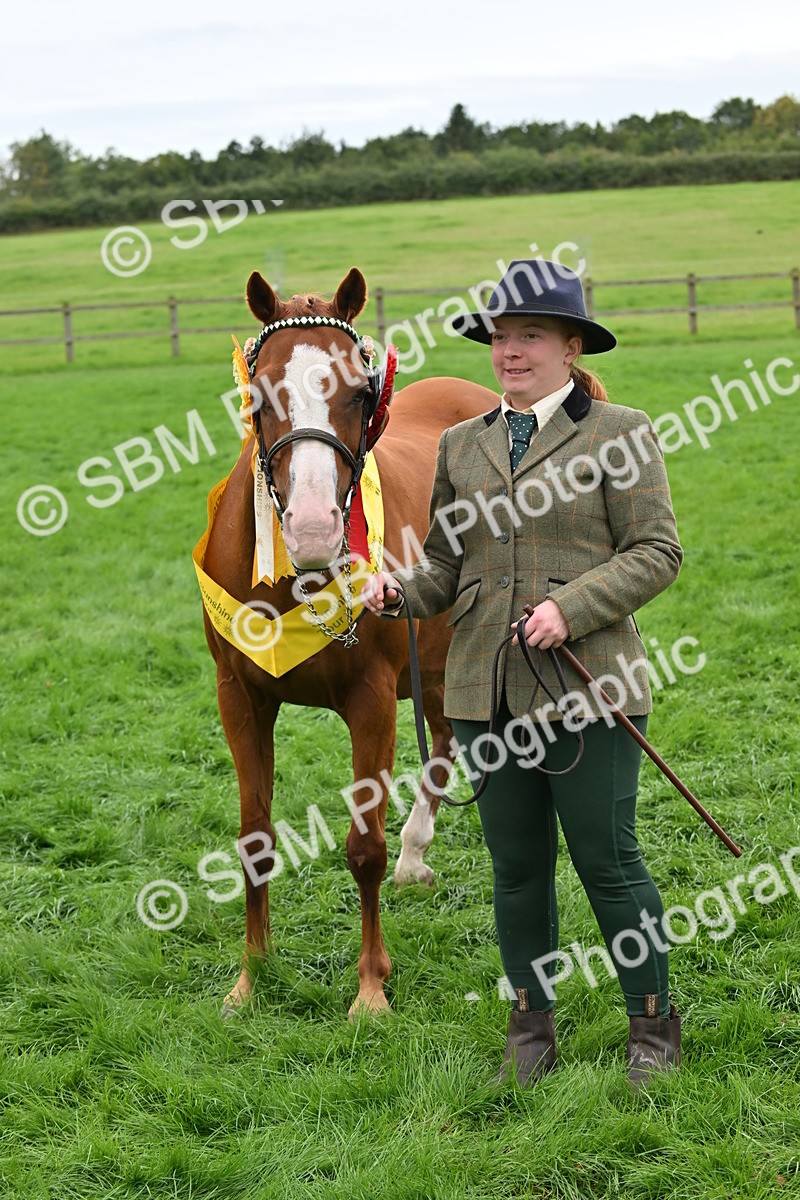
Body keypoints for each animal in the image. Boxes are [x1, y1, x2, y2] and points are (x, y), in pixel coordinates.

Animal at [201, 267, 497, 1016]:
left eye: (361, 392)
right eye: (260, 394)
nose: (312, 528)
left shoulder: (372, 701)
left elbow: (363, 848)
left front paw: (370, 987)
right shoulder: (240, 698)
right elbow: (254, 839)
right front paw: (251, 976)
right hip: (437, 658)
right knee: (445, 734)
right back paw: (417, 853)